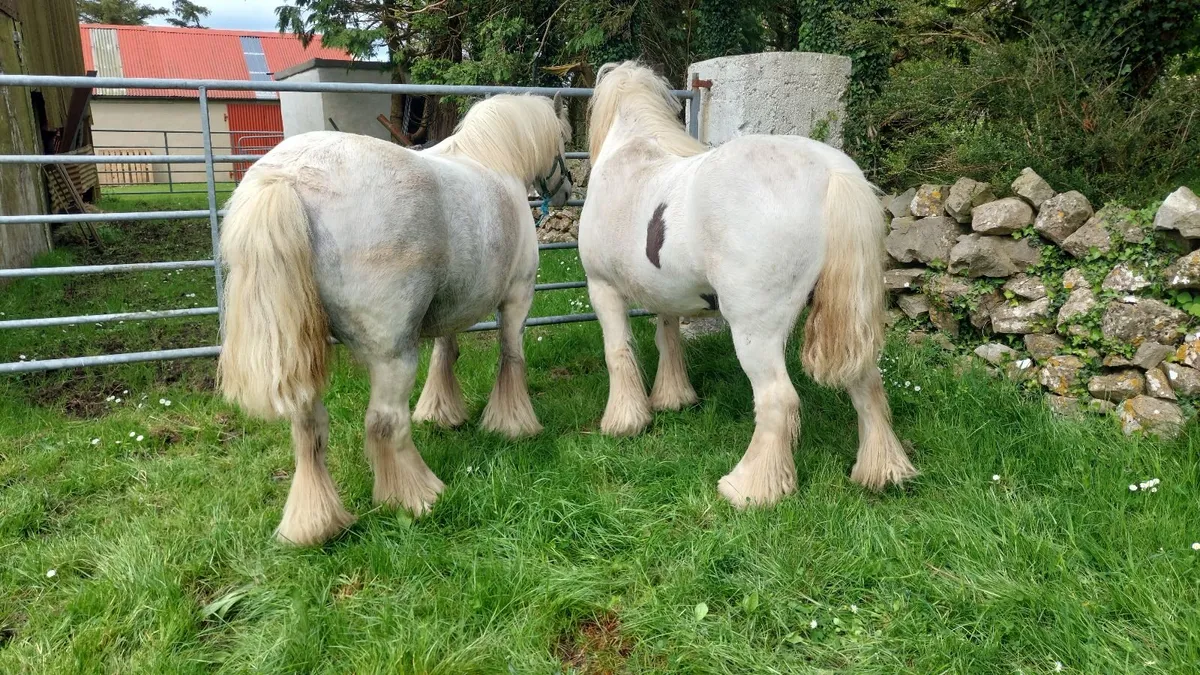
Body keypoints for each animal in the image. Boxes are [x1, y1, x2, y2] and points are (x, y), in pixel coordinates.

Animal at [217, 94, 572, 546]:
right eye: (564, 140)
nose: (568, 190)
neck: (495, 161)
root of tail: (287, 178)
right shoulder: (517, 298)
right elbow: (511, 359)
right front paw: (513, 424)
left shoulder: (448, 308)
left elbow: (445, 353)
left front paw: (442, 413)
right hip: (392, 354)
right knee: (385, 423)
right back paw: (419, 497)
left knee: (308, 428)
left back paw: (316, 524)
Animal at [579, 61, 917, 508]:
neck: (630, 156)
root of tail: (830, 172)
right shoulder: (666, 295)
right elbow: (667, 340)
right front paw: (673, 398)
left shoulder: (602, 289)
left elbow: (618, 352)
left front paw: (624, 421)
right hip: (849, 318)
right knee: (867, 384)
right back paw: (882, 471)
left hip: (755, 330)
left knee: (777, 399)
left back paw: (749, 488)